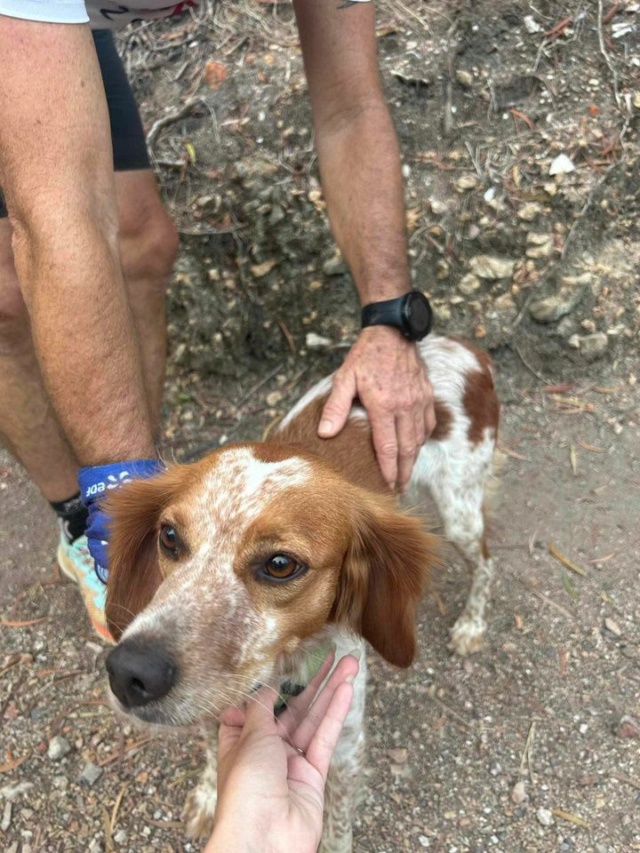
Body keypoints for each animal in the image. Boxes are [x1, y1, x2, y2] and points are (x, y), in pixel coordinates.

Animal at [102, 334, 498, 852]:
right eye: (169, 537)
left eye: (280, 565)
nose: (130, 672)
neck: (282, 668)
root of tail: (464, 346)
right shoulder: (216, 709)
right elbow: (212, 750)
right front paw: (211, 797)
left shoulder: (345, 745)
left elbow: (335, 827)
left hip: (459, 510)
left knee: (486, 561)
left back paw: (472, 625)